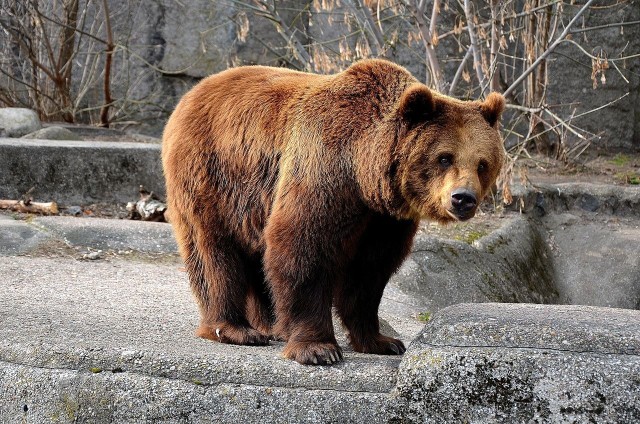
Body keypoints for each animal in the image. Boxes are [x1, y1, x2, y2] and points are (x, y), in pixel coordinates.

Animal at [161, 58, 504, 366]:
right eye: (444, 158)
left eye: (482, 163)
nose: (463, 198)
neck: (365, 173)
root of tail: (191, 94)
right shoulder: (326, 171)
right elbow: (303, 248)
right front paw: (318, 348)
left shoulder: (384, 220)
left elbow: (369, 272)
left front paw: (382, 341)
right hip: (211, 177)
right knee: (214, 253)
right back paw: (235, 329)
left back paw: (270, 326)